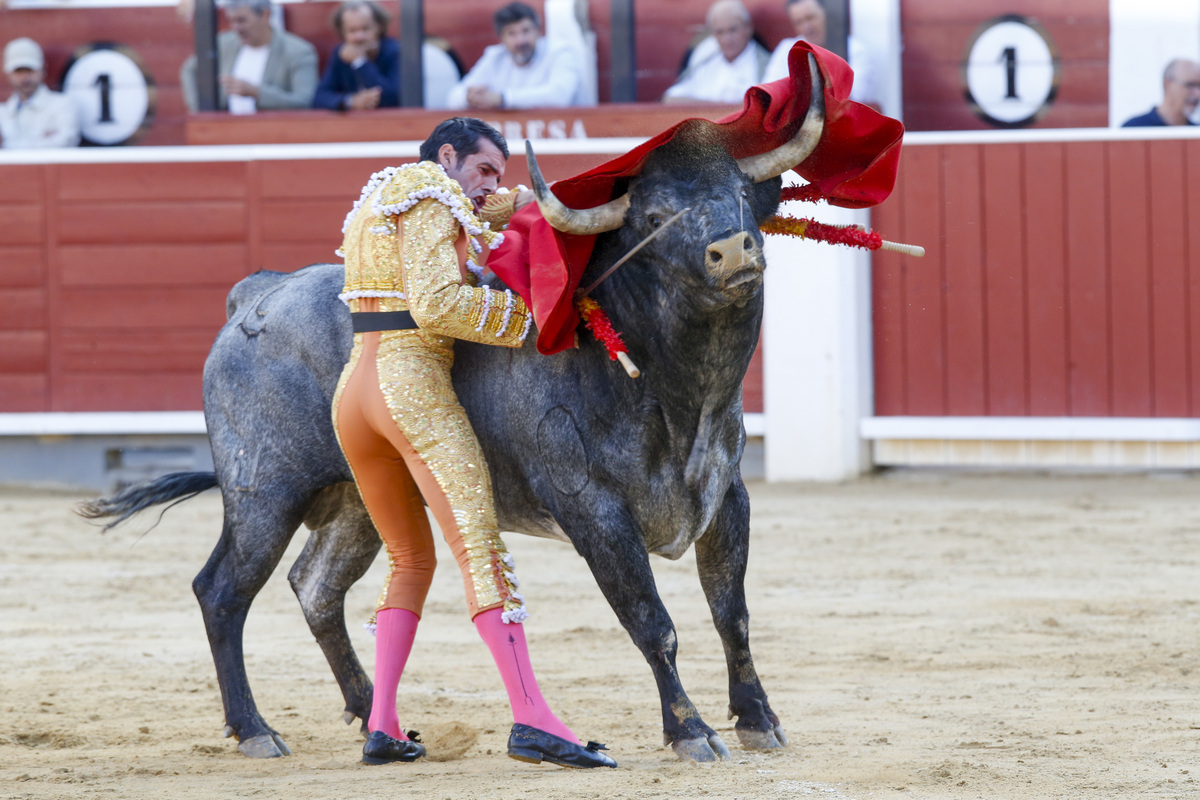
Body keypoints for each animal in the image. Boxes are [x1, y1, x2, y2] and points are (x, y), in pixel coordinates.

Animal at [82, 73, 825, 762]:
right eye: (651, 217)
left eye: (739, 194)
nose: (733, 251)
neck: (679, 393)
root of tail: (256, 293)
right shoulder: (595, 511)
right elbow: (653, 621)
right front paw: (691, 731)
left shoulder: (726, 495)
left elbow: (732, 613)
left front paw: (758, 719)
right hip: (262, 492)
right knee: (222, 592)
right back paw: (256, 730)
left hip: (356, 500)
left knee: (317, 586)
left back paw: (371, 717)